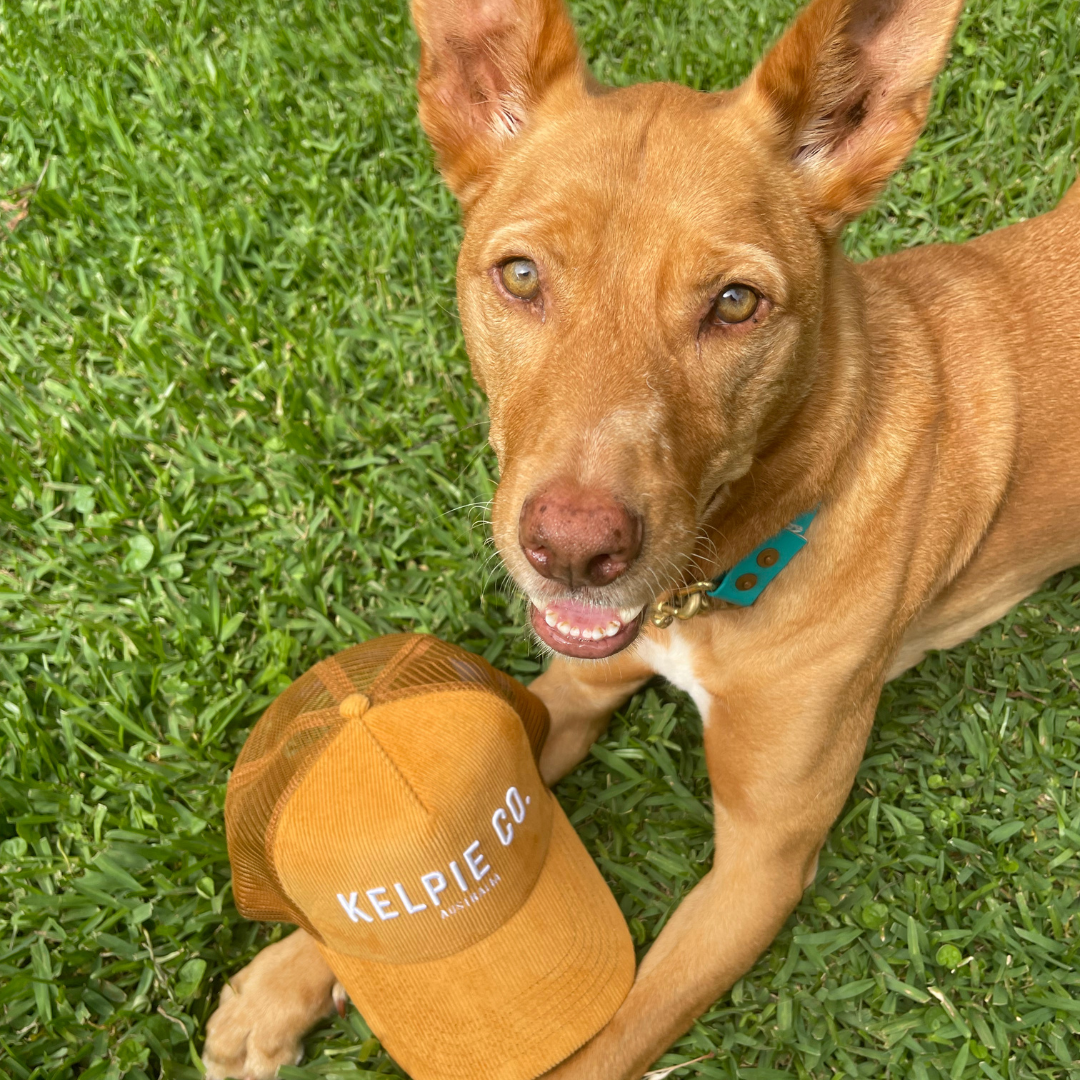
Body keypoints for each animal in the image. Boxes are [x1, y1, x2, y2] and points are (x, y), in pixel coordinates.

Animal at [203, 0, 1080, 1075]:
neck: (709, 585)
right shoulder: (570, 690)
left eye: (735, 303)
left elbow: (608, 1043)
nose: (574, 552)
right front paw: (281, 980)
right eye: (521, 276)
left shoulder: (761, 863)